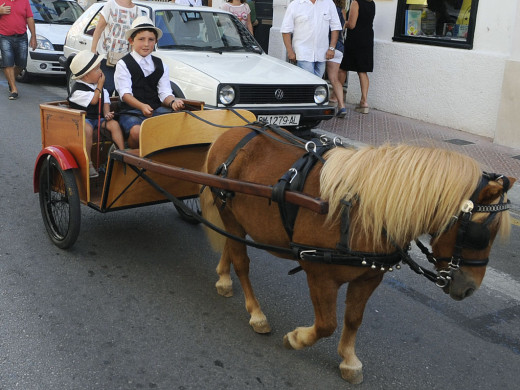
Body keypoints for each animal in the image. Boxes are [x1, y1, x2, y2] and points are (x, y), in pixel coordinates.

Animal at [199, 125, 516, 384]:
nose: (470, 288)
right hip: (229, 211)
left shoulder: (368, 276)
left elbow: (353, 319)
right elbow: (327, 324)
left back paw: (224, 278)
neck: (361, 211)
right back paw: (255, 313)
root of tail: (231, 133)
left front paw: (349, 361)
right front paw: (298, 338)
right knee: (242, 262)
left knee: (230, 245)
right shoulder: (319, 274)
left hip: (234, 218)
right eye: (481, 233)